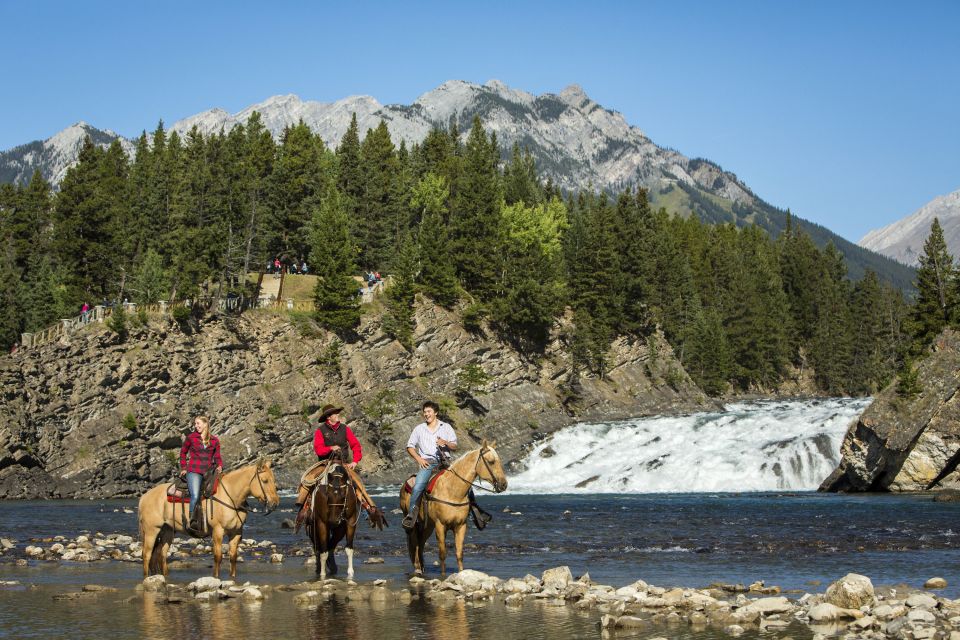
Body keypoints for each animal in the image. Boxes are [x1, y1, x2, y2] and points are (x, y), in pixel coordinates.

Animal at [139, 458, 282, 576]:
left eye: (274, 480)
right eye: (265, 481)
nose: (275, 503)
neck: (232, 498)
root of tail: (144, 496)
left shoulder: (236, 533)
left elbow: (233, 557)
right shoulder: (218, 531)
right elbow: (218, 557)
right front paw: (216, 578)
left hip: (168, 530)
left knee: (161, 554)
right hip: (151, 530)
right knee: (146, 555)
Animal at [398, 440, 506, 576]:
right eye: (491, 461)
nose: (504, 485)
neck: (453, 491)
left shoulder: (461, 525)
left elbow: (459, 553)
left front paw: (462, 574)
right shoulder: (440, 525)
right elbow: (442, 554)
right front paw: (443, 577)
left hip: (428, 525)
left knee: (420, 543)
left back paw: (422, 567)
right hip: (413, 522)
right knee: (414, 541)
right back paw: (417, 567)